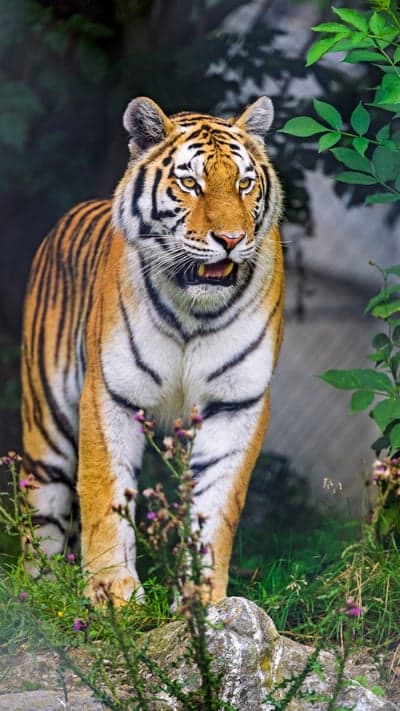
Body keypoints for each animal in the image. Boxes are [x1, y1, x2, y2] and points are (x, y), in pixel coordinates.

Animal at [20, 96, 284, 606]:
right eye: (190, 183)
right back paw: (39, 591)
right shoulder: (110, 392)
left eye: (244, 183)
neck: (194, 311)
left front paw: (204, 600)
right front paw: (112, 593)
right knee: (42, 517)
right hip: (47, 427)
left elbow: (217, 506)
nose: (231, 240)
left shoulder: (237, 402)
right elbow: (105, 491)